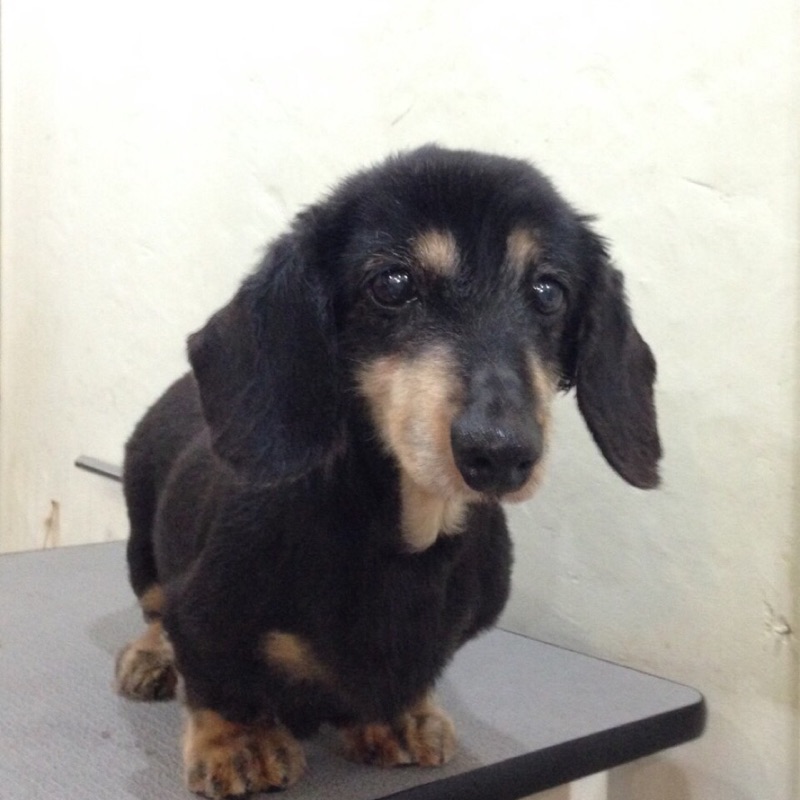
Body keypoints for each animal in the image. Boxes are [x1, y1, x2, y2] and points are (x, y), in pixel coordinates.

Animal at [115, 145, 661, 798]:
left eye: (549, 291)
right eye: (393, 284)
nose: (501, 453)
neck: (404, 540)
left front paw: (400, 718)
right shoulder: (203, 611)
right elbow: (218, 673)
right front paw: (240, 742)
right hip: (142, 546)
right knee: (153, 608)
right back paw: (150, 657)